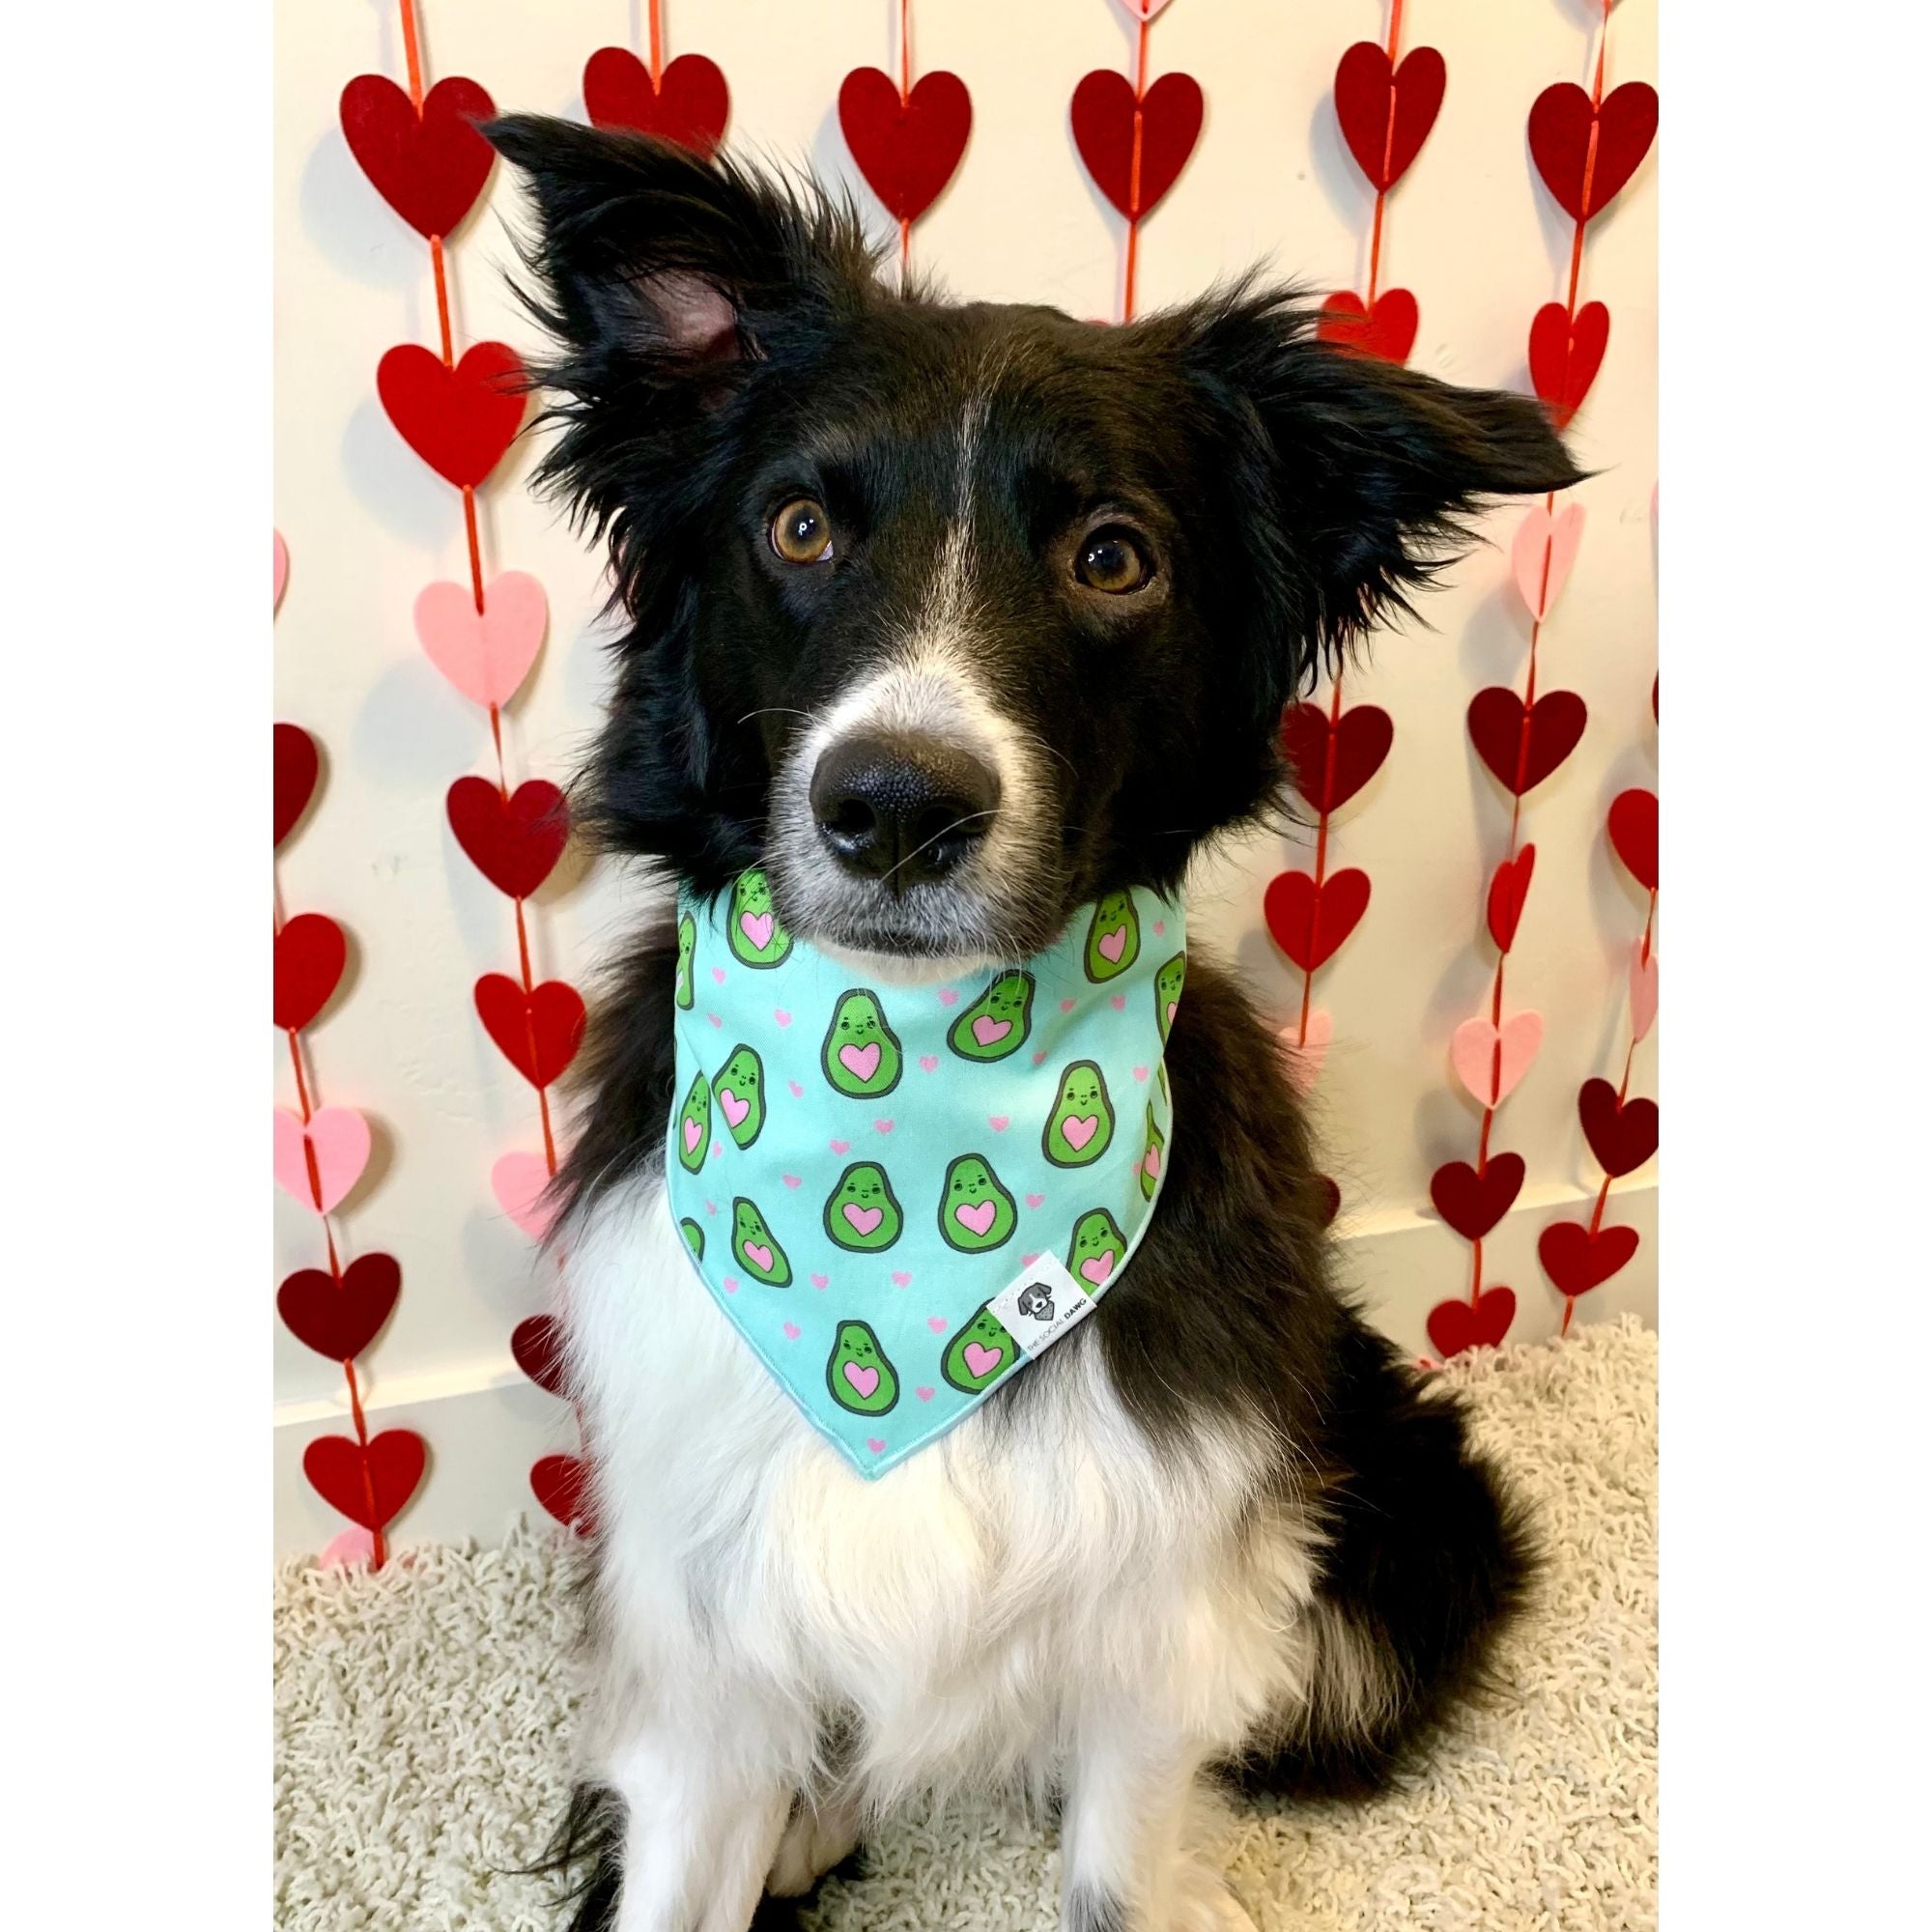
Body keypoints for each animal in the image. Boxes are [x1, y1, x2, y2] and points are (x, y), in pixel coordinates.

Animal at [487, 117, 1584, 1932]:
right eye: (800, 527)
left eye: (1112, 556)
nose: (894, 809)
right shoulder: (698, 1637)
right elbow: (683, 1853)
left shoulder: (1165, 1611)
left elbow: (1125, 1857)